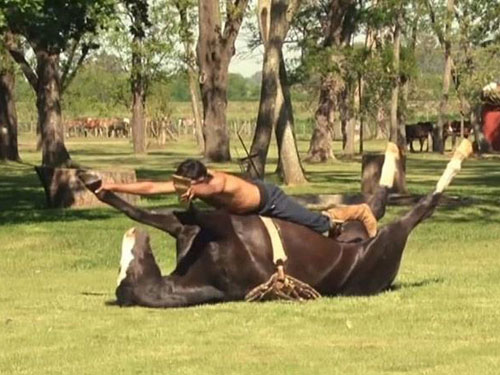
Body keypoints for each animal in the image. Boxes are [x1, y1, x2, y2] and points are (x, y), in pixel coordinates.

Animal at [78, 141, 472, 308]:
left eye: (128, 263)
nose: (132, 240)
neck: (203, 272)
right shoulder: (217, 226)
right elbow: (192, 212)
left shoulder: (193, 228)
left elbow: (154, 212)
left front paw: (97, 185)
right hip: (388, 237)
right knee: (415, 208)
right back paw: (456, 154)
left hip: (364, 228)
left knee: (374, 203)